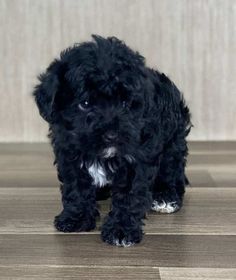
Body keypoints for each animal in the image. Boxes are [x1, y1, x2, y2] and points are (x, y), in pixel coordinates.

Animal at [33, 35, 191, 247]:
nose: (111, 134)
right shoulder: (69, 151)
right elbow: (76, 186)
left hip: (173, 142)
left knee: (171, 170)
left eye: (125, 103)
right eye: (85, 103)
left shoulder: (137, 157)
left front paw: (121, 230)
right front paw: (76, 217)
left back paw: (165, 196)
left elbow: (128, 196)